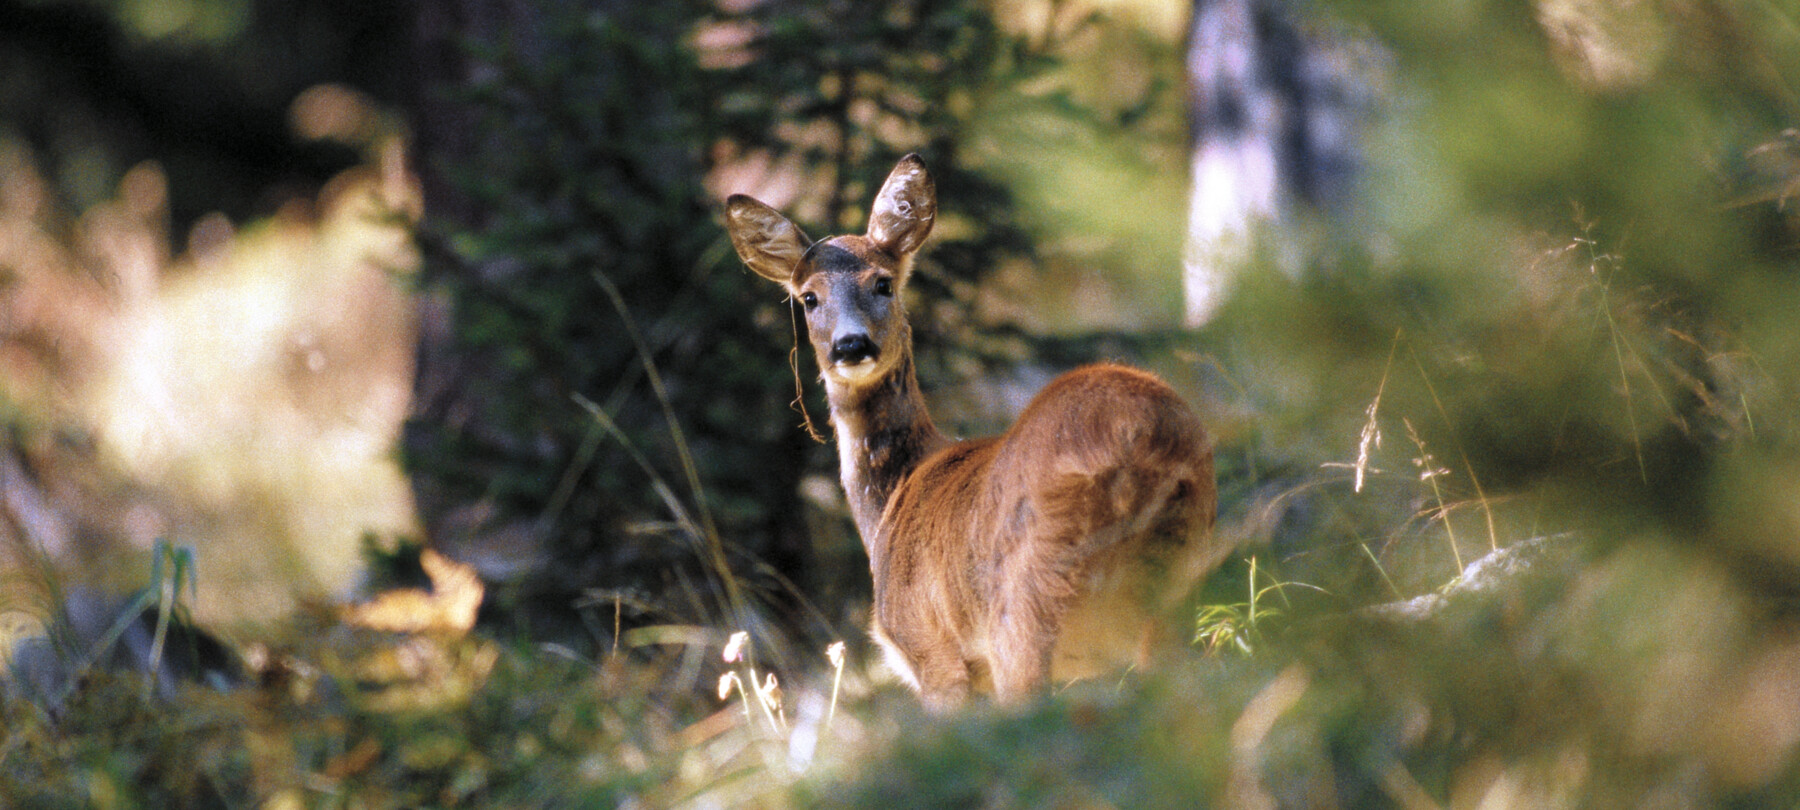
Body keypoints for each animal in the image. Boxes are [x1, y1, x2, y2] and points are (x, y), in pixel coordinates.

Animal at [723, 153, 1231, 709]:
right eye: (809, 298)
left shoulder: (930, 649)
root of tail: (1137, 437)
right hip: (1182, 572)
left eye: (883, 283)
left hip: (1024, 597)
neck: (893, 497)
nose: (851, 345)